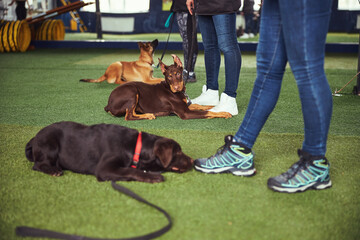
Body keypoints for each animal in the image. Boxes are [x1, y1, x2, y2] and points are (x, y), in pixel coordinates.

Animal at [25, 121, 194, 183]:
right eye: (178, 153)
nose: (193, 161)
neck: (135, 146)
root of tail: (34, 138)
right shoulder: (104, 168)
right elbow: (130, 171)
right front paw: (153, 177)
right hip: (50, 144)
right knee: (38, 165)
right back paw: (54, 170)